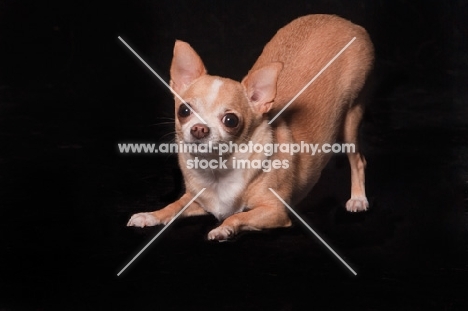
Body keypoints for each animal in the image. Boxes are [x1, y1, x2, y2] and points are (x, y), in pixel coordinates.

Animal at [127, 14, 372, 241]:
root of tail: (345, 22)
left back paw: (358, 199)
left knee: (358, 160)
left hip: (351, 116)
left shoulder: (275, 211)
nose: (199, 129)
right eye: (184, 111)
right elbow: (175, 206)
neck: (218, 170)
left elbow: (238, 216)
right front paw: (151, 215)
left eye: (230, 120)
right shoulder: (196, 200)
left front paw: (223, 229)